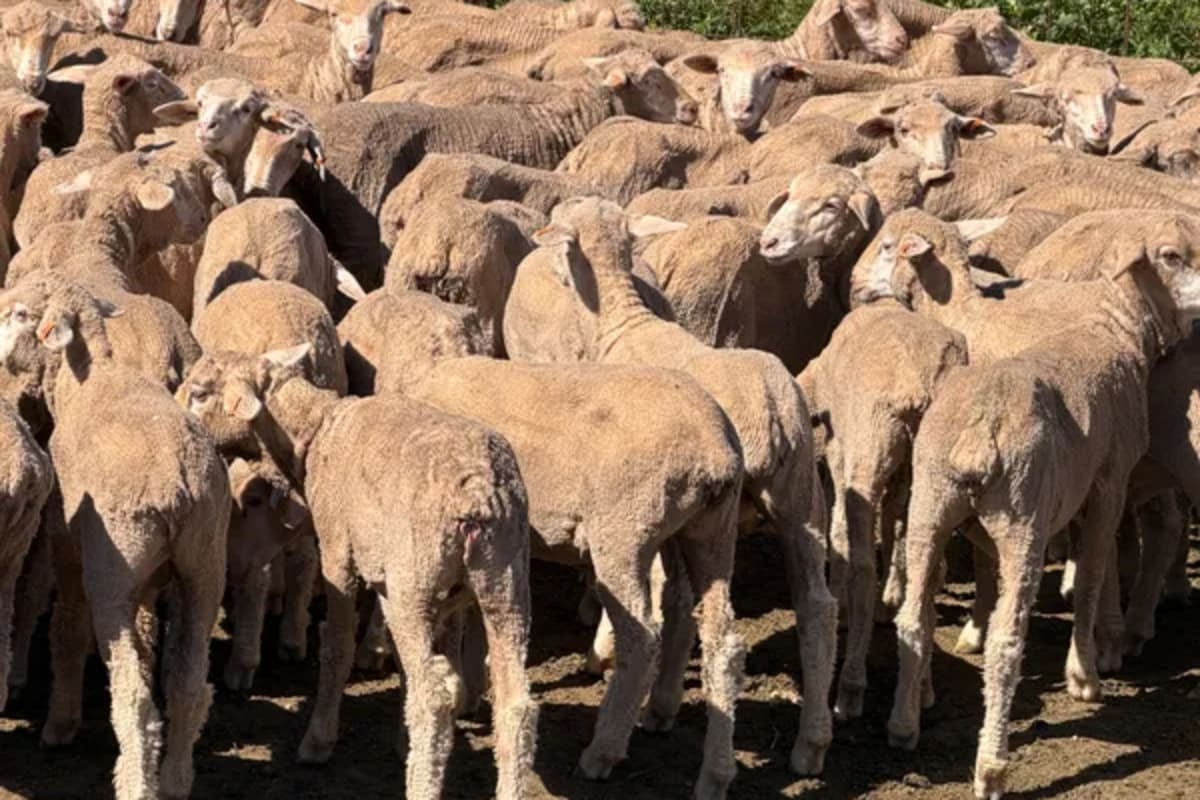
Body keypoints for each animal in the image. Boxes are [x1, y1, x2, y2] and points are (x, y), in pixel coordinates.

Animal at [0, 277, 229, 800]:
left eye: (21, 314)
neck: (92, 376)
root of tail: (179, 482)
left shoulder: (66, 539)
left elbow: (66, 625)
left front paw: (60, 725)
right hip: (206, 563)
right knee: (189, 683)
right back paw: (175, 778)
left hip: (113, 566)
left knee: (133, 694)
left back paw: (134, 782)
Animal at [176, 346, 538, 800]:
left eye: (201, 394)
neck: (315, 432)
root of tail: (478, 495)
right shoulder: (394, 582)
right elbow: (404, 662)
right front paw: (404, 740)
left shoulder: (338, 553)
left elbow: (337, 648)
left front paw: (318, 742)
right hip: (504, 586)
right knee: (515, 705)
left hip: (417, 584)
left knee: (435, 701)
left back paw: (420, 784)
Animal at [504, 197, 836, 778]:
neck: (619, 322)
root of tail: (767, 411)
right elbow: (680, 602)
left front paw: (609, 657)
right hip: (798, 498)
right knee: (815, 606)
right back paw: (810, 745)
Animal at [796, 303, 966, 720]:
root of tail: (923, 388)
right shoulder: (904, 477)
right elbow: (895, 527)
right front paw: (891, 598)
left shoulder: (841, 450)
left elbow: (840, 529)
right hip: (933, 471)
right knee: (931, 570)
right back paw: (921, 690)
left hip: (870, 449)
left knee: (863, 566)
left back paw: (850, 688)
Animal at [855, 209, 1200, 800]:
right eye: (1174, 255)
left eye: (886, 247)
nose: (853, 286)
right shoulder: (1099, 484)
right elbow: (1080, 568)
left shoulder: (1099, 483)